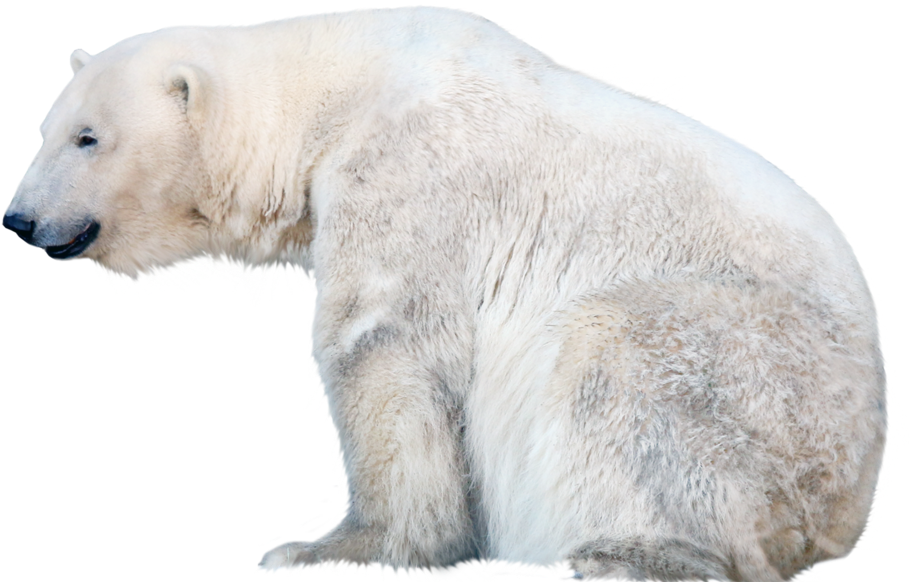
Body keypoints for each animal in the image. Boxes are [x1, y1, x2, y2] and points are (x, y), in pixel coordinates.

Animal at [2, 5, 889, 581]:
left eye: (89, 138)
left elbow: (383, 347)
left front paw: (325, 550)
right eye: (45, 132)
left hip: (755, 382)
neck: (331, 95)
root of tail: (845, 509)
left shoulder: (408, 174)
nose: (18, 219)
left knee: (612, 365)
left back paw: (613, 557)